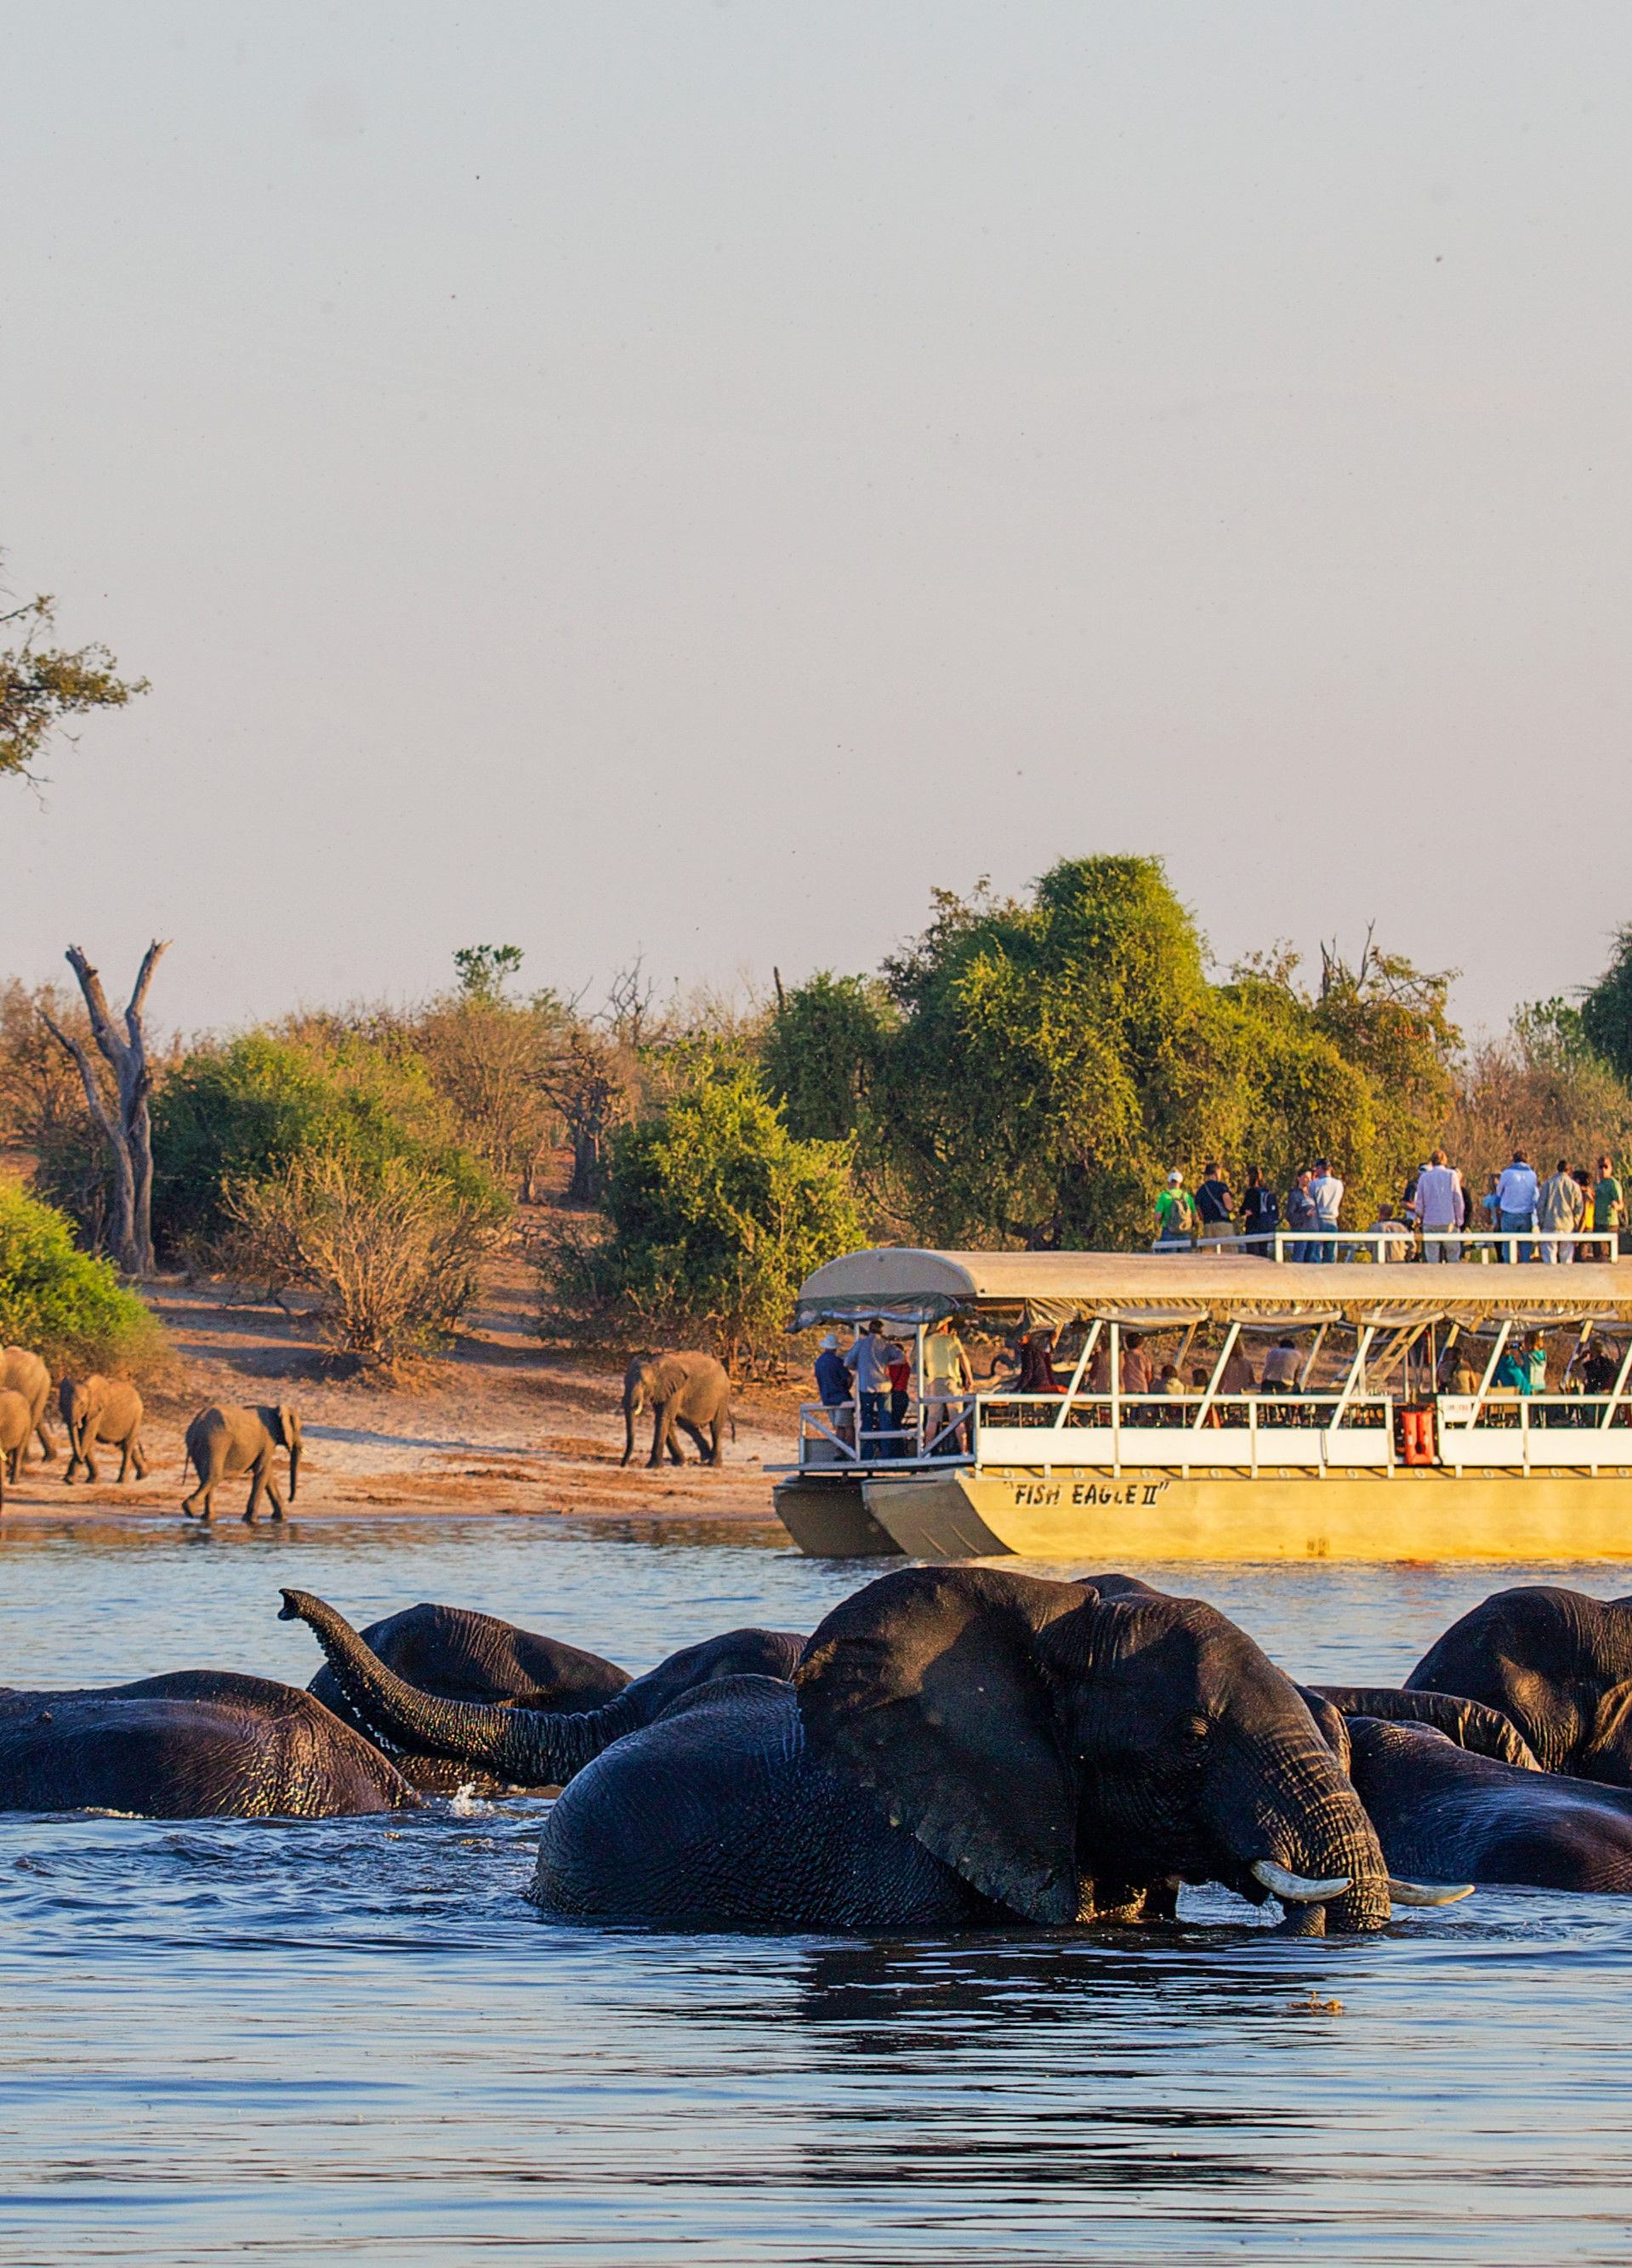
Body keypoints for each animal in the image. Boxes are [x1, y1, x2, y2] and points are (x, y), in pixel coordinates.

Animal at [0, 1347, 55, 1465]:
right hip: (41, 1389)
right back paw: (48, 1458)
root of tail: (43, 1370)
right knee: (35, 1417)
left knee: (31, 1417)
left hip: (28, 1385)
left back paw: (24, 1461)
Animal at [58, 1374, 149, 1485]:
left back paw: (122, 1481)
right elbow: (83, 1440)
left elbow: (86, 1438)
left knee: (127, 1446)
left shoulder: (97, 1412)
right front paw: (92, 1481)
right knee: (123, 1445)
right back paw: (143, 1476)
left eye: (82, 1403)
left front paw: (69, 1480)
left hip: (136, 1417)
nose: (81, 1460)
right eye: (61, 1403)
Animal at [182, 1402, 302, 1523]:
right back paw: (189, 1509)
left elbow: (268, 1475)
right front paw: (252, 1521)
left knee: (204, 1476)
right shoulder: (268, 1440)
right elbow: (262, 1472)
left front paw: (281, 1519)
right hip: (215, 1441)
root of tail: (197, 1422)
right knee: (214, 1476)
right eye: (299, 1429)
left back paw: (207, 1518)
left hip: (203, 1444)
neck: (275, 1410)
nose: (289, 1499)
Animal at [621, 1351, 733, 1468]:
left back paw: (714, 1464)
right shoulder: (662, 1390)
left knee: (716, 1426)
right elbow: (664, 1419)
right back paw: (706, 1457)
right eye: (624, 1382)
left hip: (723, 1396)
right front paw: (680, 1463)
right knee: (686, 1424)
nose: (623, 1465)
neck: (654, 1364)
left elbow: (664, 1418)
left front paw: (652, 1466)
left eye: (644, 1384)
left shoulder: (675, 1391)